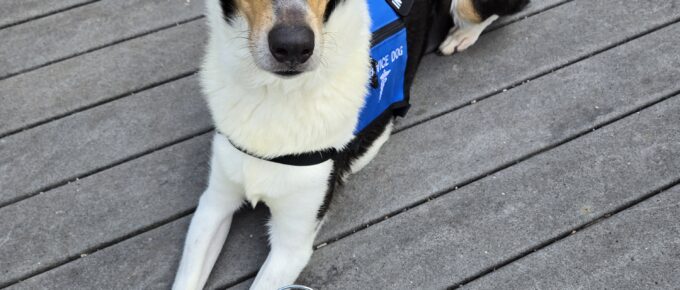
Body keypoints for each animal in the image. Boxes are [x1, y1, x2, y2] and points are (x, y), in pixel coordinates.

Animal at [173, 0, 528, 288]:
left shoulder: (292, 245)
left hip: (471, 6)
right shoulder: (214, 203)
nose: (293, 47)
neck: (275, 97)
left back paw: (460, 36)